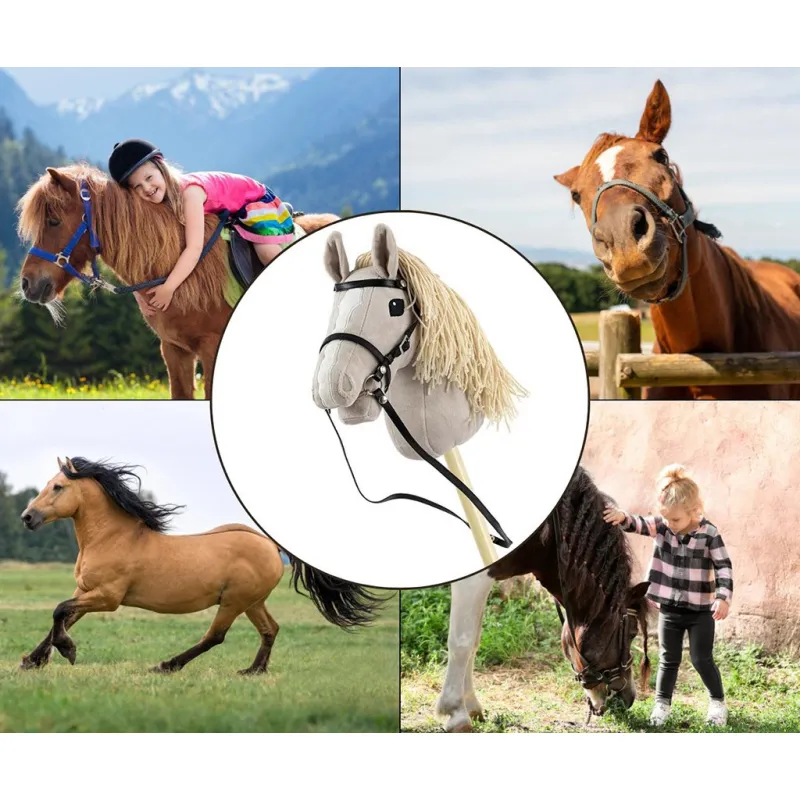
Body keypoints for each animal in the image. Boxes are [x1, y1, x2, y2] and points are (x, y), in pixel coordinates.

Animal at [19, 457, 384, 674]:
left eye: (58, 486)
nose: (27, 517)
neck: (112, 537)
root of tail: (270, 544)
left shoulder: (108, 597)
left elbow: (59, 611)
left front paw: (66, 651)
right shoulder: (86, 590)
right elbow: (63, 617)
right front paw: (32, 660)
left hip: (234, 601)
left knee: (215, 637)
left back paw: (167, 665)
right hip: (253, 602)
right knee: (270, 629)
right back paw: (253, 671)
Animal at [435, 466, 651, 732]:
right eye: (631, 633)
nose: (628, 698)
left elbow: (474, 642)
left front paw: (471, 705)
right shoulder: (473, 580)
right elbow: (462, 643)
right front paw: (456, 713)